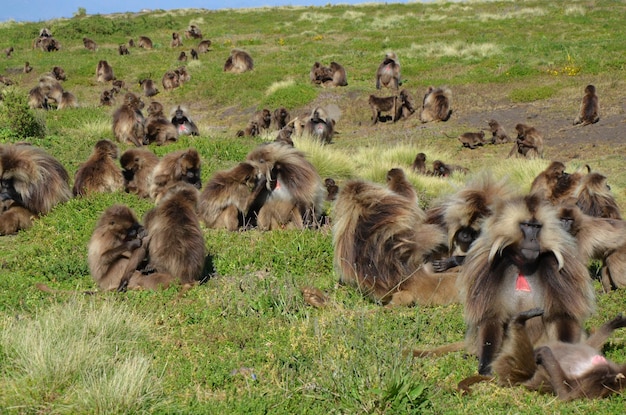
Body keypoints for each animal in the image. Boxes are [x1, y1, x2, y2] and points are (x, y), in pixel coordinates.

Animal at [456, 195, 592, 376]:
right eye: (527, 225)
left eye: (537, 227)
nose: (533, 240)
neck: (523, 263)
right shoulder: (487, 267)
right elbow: (491, 318)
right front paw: (485, 367)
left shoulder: (558, 268)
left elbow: (562, 315)